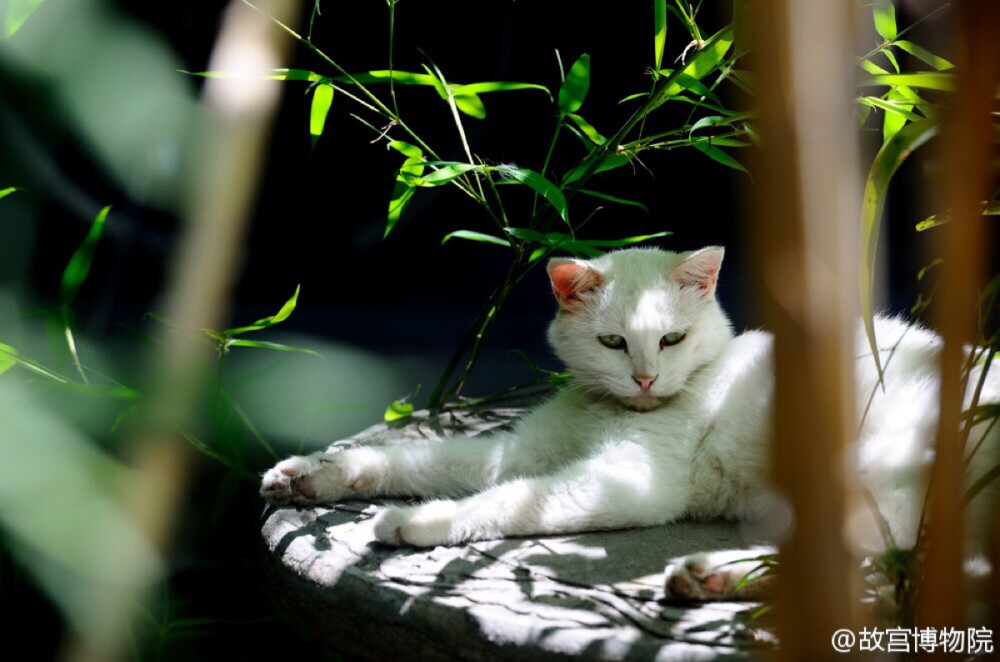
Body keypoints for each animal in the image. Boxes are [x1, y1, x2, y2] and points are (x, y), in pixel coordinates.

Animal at [262, 246, 996, 600]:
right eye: (614, 344)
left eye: (670, 340)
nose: (644, 378)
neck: (608, 411)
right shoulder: (518, 450)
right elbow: (416, 458)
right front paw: (310, 475)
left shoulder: (628, 482)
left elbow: (504, 503)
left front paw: (413, 521)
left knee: (879, 554)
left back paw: (709, 574)